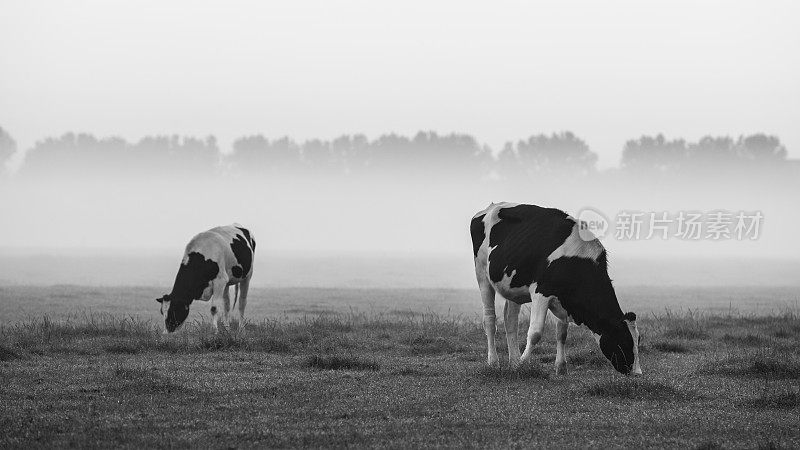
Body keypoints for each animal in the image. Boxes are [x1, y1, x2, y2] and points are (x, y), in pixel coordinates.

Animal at [472, 202, 640, 374]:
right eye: (625, 341)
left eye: (638, 340)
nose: (637, 373)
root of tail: (491, 206)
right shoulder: (541, 292)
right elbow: (535, 333)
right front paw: (522, 364)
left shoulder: (564, 299)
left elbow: (562, 333)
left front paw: (560, 367)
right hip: (482, 274)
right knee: (490, 321)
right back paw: (494, 362)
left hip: (513, 285)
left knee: (510, 321)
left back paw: (513, 361)